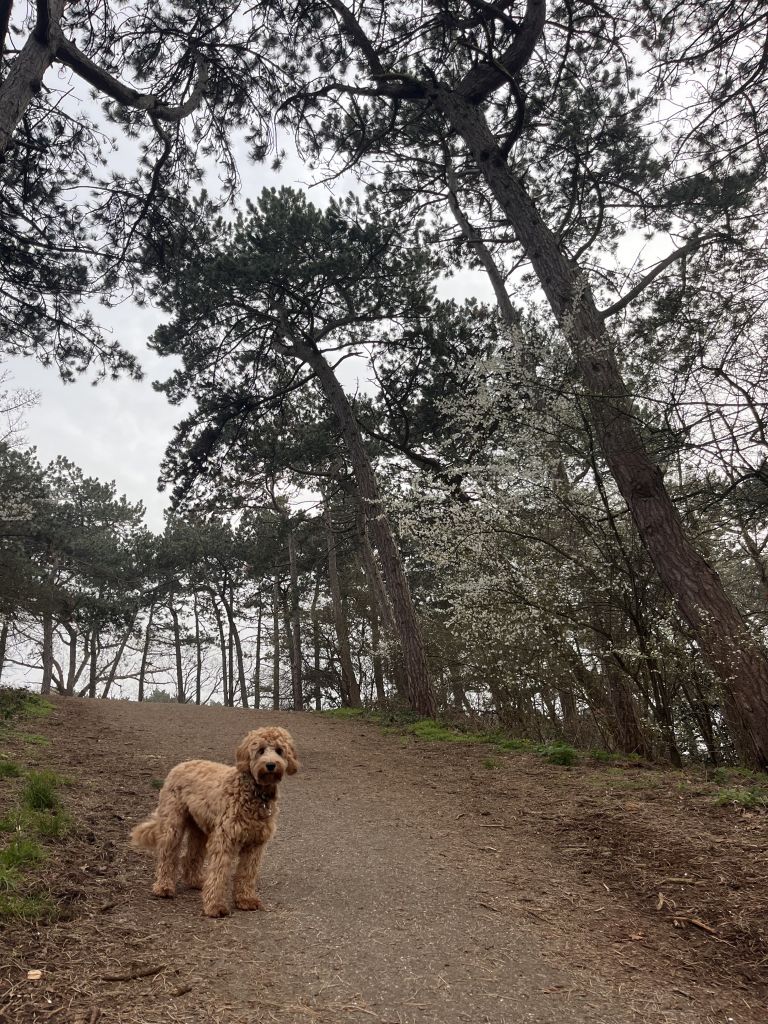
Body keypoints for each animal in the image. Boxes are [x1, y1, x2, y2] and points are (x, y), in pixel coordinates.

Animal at [130, 726, 298, 917]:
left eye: (279, 750)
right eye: (261, 750)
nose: (271, 765)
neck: (255, 793)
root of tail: (180, 765)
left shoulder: (255, 844)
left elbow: (247, 874)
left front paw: (246, 899)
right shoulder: (224, 839)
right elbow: (219, 873)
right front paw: (215, 906)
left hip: (200, 828)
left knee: (191, 856)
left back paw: (196, 881)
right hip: (173, 825)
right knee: (167, 856)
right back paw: (164, 887)